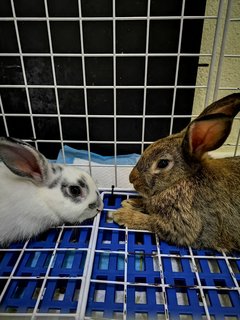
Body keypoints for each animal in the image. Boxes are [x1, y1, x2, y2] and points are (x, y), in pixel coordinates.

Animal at [113, 93, 240, 252]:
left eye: (162, 163)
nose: (132, 179)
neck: (183, 180)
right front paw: (131, 202)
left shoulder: (183, 226)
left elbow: (151, 221)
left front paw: (123, 215)